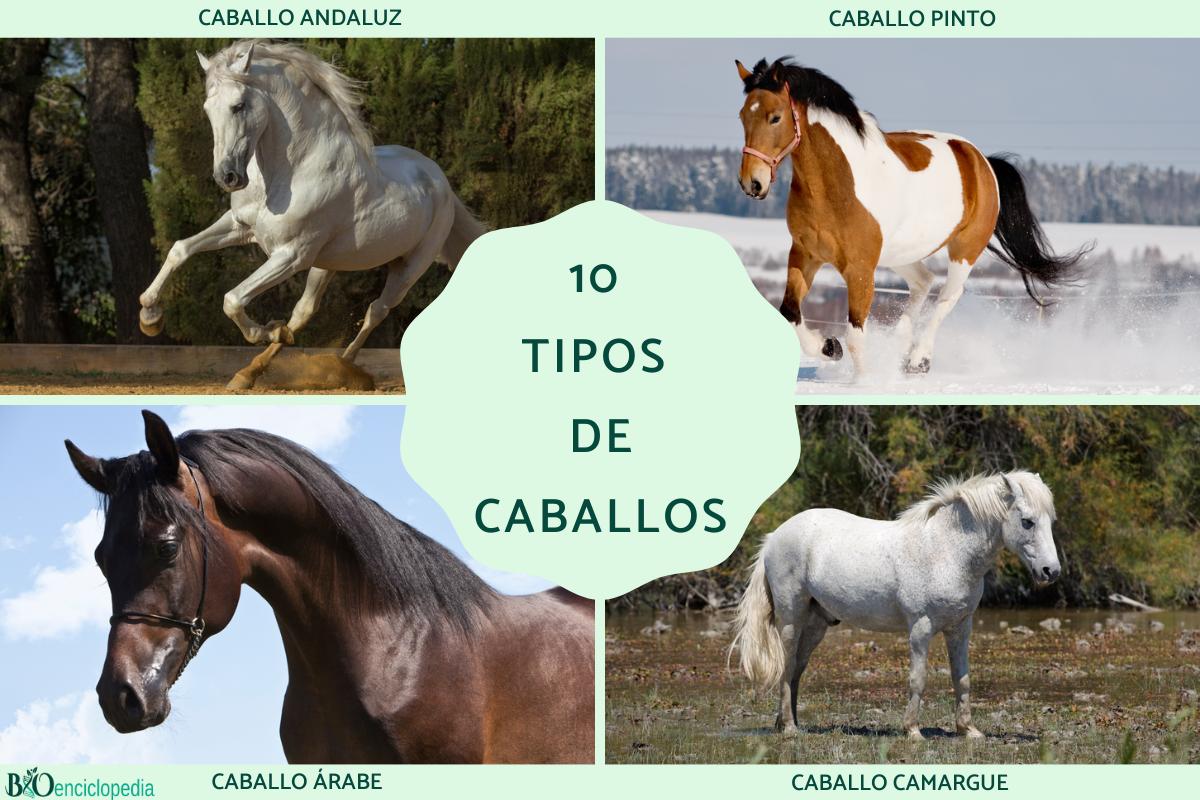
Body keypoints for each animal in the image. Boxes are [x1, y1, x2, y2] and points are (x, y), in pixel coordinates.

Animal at [136, 40, 486, 389]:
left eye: (238, 106)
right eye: (208, 109)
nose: (227, 177)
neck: (292, 170)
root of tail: (439, 180)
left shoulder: (292, 255)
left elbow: (232, 299)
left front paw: (264, 330)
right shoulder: (240, 227)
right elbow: (181, 249)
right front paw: (150, 317)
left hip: (409, 268)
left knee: (376, 310)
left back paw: (343, 365)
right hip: (327, 263)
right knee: (304, 312)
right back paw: (250, 371)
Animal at [730, 471, 1060, 740]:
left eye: (1050, 522)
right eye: (1027, 522)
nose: (1051, 571)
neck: (946, 551)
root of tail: (774, 537)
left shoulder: (960, 628)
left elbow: (962, 678)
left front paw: (968, 730)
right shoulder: (921, 628)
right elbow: (918, 678)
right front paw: (912, 730)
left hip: (816, 624)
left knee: (797, 668)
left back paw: (790, 722)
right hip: (791, 619)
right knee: (786, 667)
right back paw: (788, 727)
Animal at [735, 57, 1089, 376]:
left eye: (775, 117)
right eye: (742, 116)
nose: (752, 183)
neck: (837, 186)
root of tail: (981, 161)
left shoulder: (860, 268)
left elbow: (855, 337)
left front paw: (863, 381)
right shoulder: (804, 254)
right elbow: (789, 313)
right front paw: (828, 347)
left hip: (964, 250)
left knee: (946, 296)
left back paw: (918, 359)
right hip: (899, 254)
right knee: (923, 282)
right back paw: (900, 345)